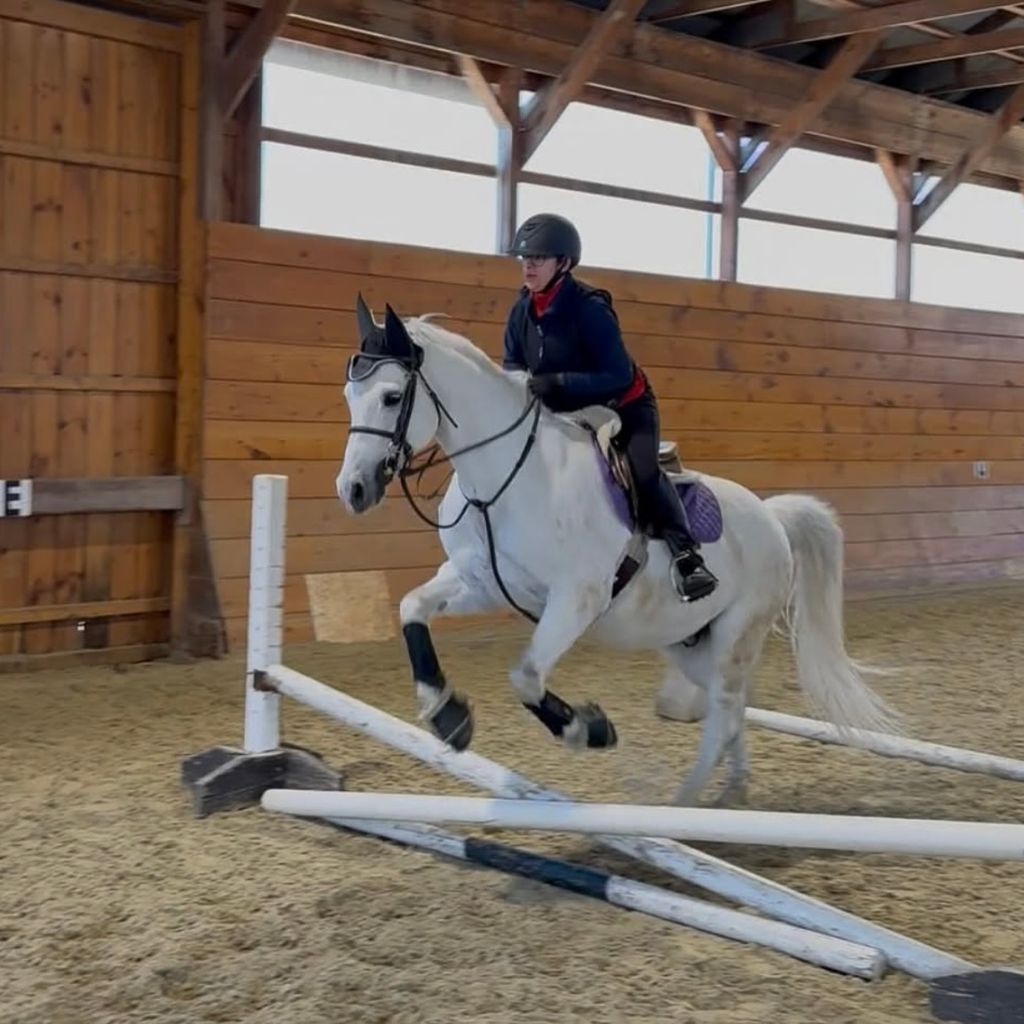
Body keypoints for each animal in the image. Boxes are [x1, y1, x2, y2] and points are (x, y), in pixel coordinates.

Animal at [335, 296, 902, 806]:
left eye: (391, 397)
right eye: (349, 395)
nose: (353, 490)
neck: (502, 480)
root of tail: (772, 517)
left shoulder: (575, 600)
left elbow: (526, 676)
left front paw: (589, 729)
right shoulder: (482, 581)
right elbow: (412, 608)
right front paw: (448, 716)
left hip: (737, 631)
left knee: (723, 712)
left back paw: (681, 808)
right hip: (690, 640)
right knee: (732, 707)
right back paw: (733, 791)